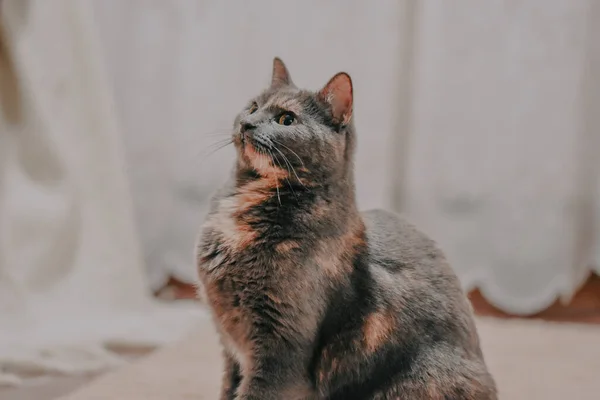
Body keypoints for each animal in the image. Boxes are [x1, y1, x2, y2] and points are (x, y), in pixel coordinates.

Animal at [197, 57, 496, 398]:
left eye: (286, 119)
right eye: (253, 106)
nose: (248, 124)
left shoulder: (280, 352)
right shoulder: (231, 350)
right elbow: (228, 388)